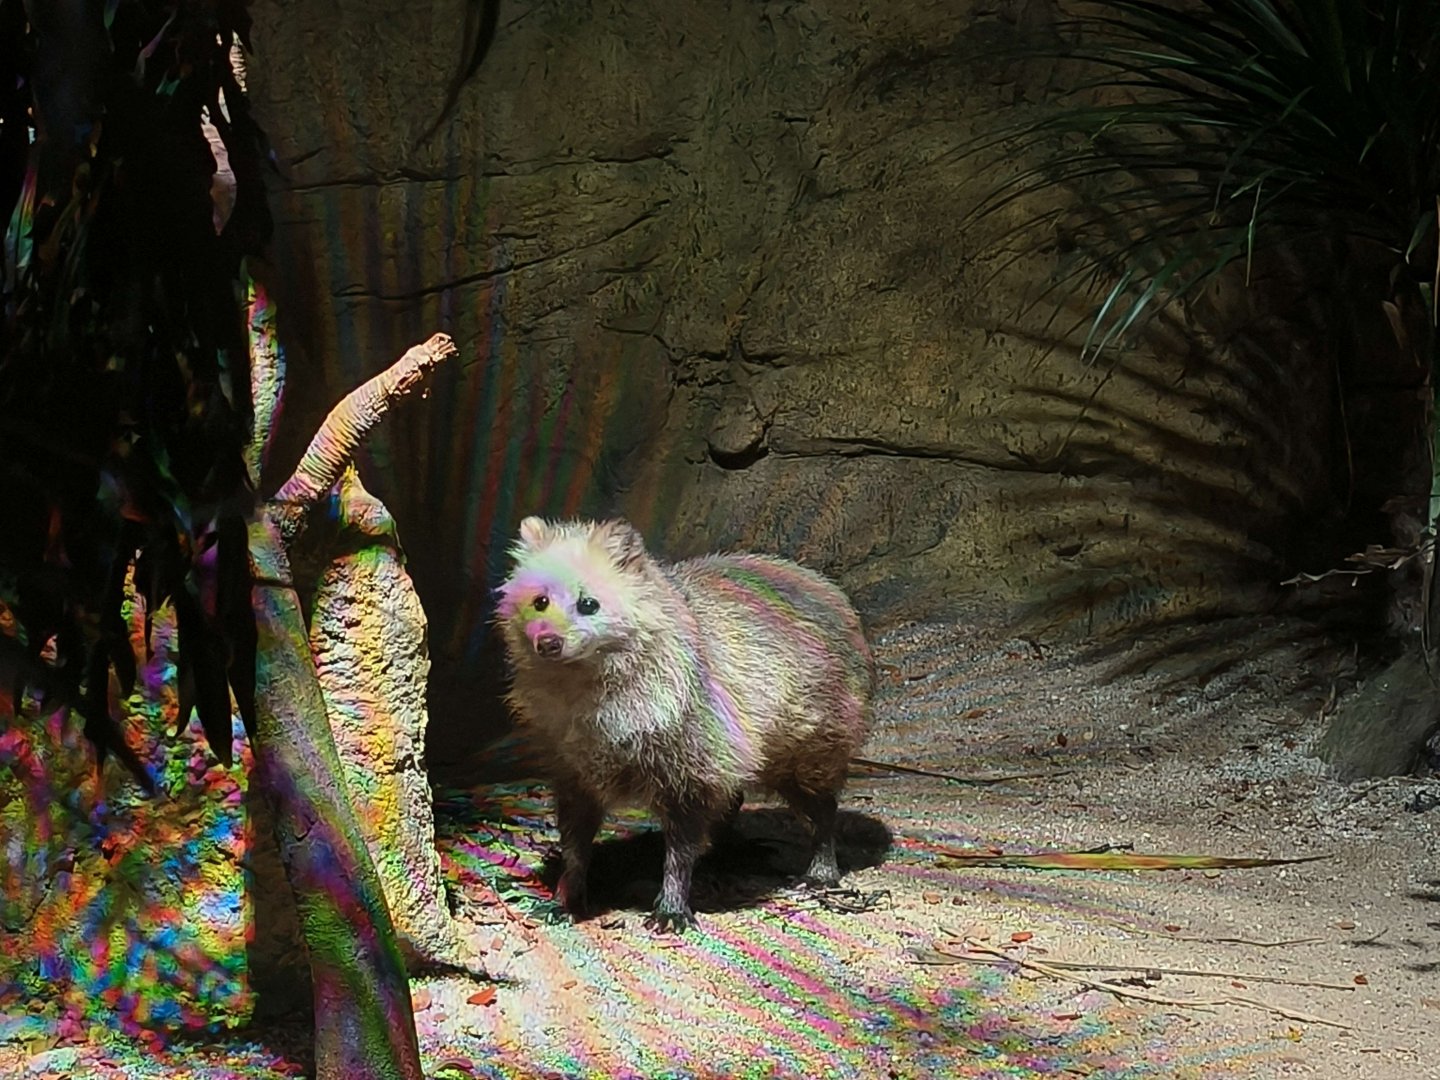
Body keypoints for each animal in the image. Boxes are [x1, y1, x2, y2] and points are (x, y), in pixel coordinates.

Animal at [495, 516, 876, 932]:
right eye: (540, 601)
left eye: (589, 604)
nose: (548, 642)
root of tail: (830, 591)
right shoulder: (572, 773)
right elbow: (575, 844)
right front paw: (567, 896)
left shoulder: (693, 768)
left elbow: (679, 851)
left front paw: (672, 904)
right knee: (736, 800)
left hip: (810, 748)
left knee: (822, 811)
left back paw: (821, 868)